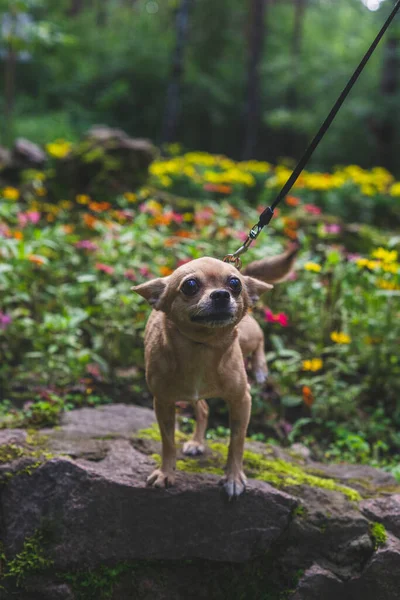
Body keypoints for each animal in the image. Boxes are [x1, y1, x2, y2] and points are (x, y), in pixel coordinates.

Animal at [133, 246, 298, 500]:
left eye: (234, 284)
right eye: (190, 285)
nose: (221, 294)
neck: (203, 347)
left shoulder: (241, 400)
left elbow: (237, 441)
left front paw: (233, 478)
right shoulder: (163, 402)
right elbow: (168, 442)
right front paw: (166, 473)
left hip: (248, 336)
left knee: (260, 336)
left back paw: (260, 368)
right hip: (191, 395)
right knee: (203, 409)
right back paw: (196, 442)